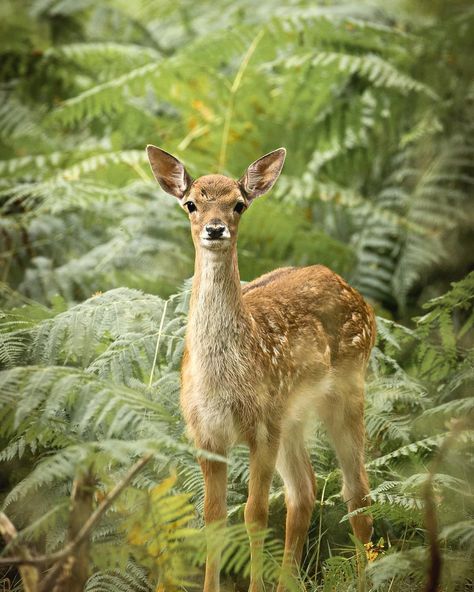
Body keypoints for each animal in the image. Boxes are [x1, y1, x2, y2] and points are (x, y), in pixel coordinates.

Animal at [144, 145, 374, 592]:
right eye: (191, 203)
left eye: (239, 204)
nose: (215, 229)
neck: (223, 379)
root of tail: (356, 294)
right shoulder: (206, 433)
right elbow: (214, 519)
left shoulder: (261, 427)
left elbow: (255, 515)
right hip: (292, 416)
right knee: (304, 491)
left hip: (346, 391)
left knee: (356, 492)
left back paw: (365, 579)